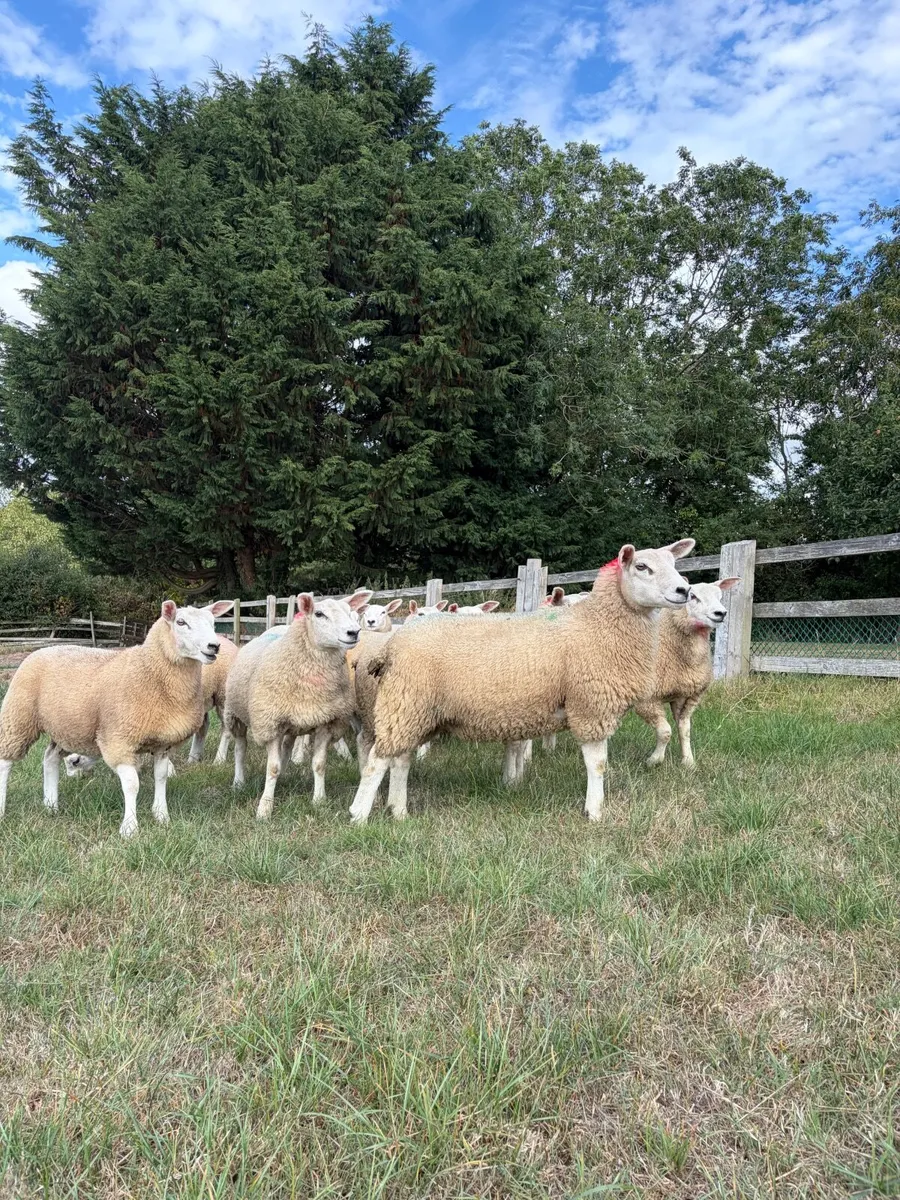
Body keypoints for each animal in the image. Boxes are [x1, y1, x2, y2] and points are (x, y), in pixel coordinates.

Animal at [0, 600, 233, 837]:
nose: (214, 646)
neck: (151, 672)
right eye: (181, 622)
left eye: (213, 622)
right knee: (5, 762)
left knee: (50, 758)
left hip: (66, 728)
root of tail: (40, 650)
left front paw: (162, 816)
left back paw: (51, 805)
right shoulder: (119, 739)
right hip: (18, 717)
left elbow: (161, 777)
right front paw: (129, 828)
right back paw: (3, 809)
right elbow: (132, 784)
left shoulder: (163, 743)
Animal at [223, 591, 370, 818]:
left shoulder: (327, 722)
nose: (353, 632)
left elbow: (319, 764)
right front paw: (265, 807)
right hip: (235, 714)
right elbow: (272, 768)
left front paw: (319, 800)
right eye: (319, 614)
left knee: (287, 746)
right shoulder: (271, 723)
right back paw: (238, 782)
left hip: (292, 723)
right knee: (240, 748)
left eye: (350, 612)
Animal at [347, 540, 694, 824]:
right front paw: (594, 812)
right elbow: (597, 764)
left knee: (401, 760)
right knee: (378, 761)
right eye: (641, 567)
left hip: (414, 709)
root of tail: (393, 644)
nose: (685, 591)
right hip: (406, 702)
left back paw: (399, 811)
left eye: (674, 563)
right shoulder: (590, 705)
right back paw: (359, 815)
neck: (596, 624)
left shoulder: (594, 707)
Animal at [633, 578, 738, 768]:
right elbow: (666, 731)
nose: (721, 613)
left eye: (720, 596)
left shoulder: (685, 696)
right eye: (693, 596)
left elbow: (685, 730)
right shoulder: (647, 700)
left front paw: (688, 762)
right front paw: (654, 760)